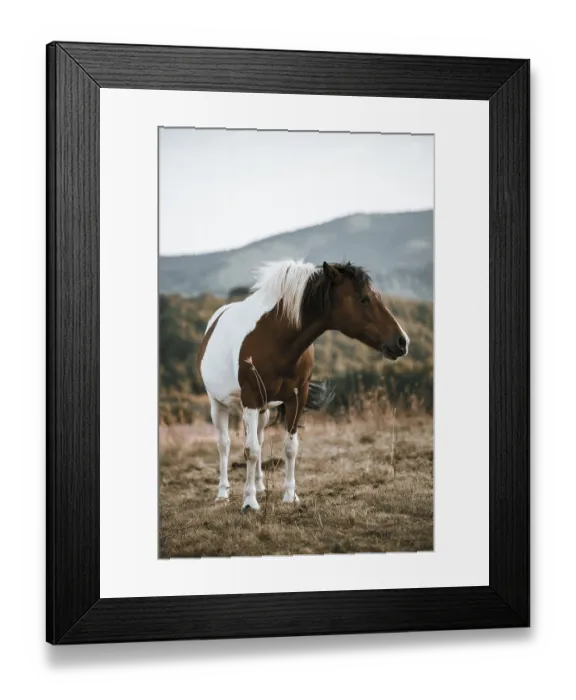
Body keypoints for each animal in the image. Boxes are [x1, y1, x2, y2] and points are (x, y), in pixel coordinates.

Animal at [198, 259, 410, 512]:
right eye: (364, 299)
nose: (402, 342)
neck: (275, 338)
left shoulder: (296, 398)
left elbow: (289, 448)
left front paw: (290, 495)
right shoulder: (251, 398)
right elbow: (250, 451)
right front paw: (249, 502)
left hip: (262, 410)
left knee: (258, 437)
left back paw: (260, 486)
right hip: (219, 404)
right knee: (225, 445)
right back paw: (223, 493)